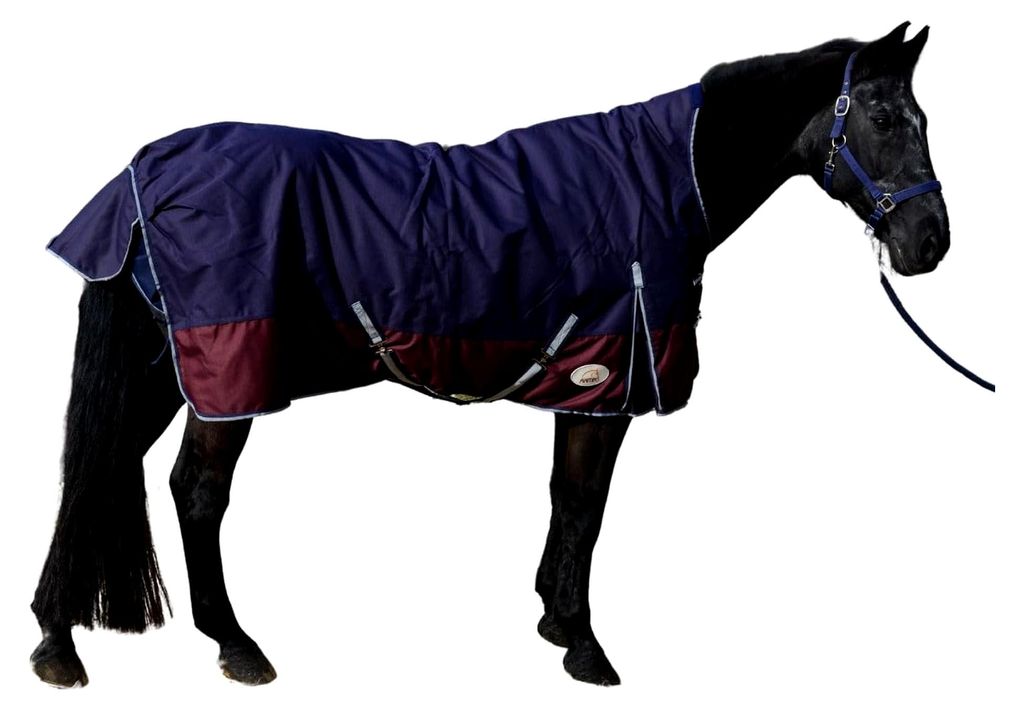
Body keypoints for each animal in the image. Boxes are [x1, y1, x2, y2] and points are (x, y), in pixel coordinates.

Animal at [30, 22, 948, 688]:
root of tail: (145, 173)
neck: (666, 179)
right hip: (225, 375)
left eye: (924, 120)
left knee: (101, 467)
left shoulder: (583, 381)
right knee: (196, 492)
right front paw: (583, 644)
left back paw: (56, 638)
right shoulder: (607, 382)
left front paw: (552, 618)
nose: (928, 243)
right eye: (884, 117)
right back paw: (234, 643)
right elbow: (584, 505)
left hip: (165, 370)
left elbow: (565, 502)